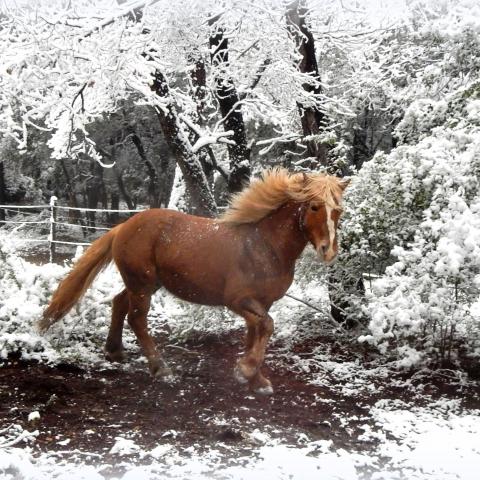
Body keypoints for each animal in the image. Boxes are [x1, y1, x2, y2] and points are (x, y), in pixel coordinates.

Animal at [40, 169, 348, 394]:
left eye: (338, 210)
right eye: (314, 207)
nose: (328, 250)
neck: (264, 245)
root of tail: (123, 226)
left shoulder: (263, 303)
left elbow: (256, 332)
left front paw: (254, 380)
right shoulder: (238, 300)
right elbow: (266, 327)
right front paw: (246, 371)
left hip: (145, 283)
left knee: (118, 303)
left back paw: (115, 352)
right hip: (143, 285)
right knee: (137, 319)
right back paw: (160, 368)